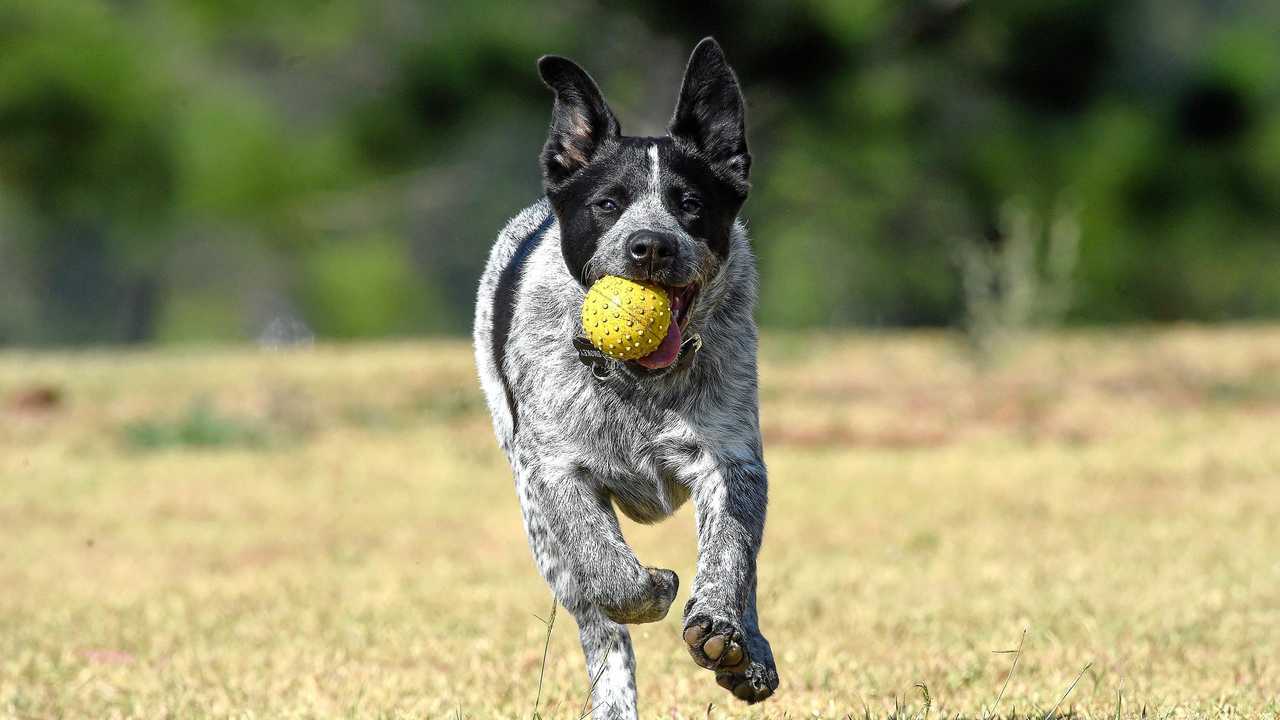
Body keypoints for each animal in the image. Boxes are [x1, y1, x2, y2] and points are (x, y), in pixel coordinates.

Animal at [473, 40, 778, 717]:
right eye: (607, 204)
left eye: (691, 205)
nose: (652, 246)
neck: (637, 384)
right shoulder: (553, 472)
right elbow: (608, 574)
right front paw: (655, 586)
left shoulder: (732, 458)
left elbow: (732, 551)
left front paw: (722, 630)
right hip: (536, 519)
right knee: (596, 617)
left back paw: (748, 652)